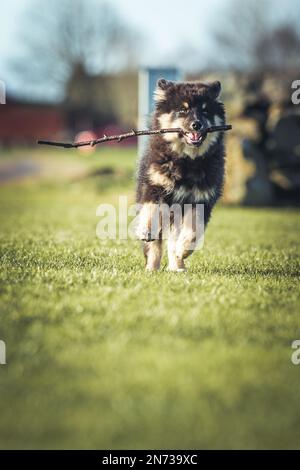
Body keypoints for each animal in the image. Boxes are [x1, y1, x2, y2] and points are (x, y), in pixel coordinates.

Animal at [137, 79, 226, 272]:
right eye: (183, 110)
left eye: (205, 110)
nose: (196, 124)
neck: (187, 161)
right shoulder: (155, 186)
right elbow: (150, 212)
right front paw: (146, 229)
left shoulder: (201, 199)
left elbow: (192, 231)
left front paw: (183, 250)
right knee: (155, 245)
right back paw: (151, 268)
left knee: (173, 241)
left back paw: (177, 266)